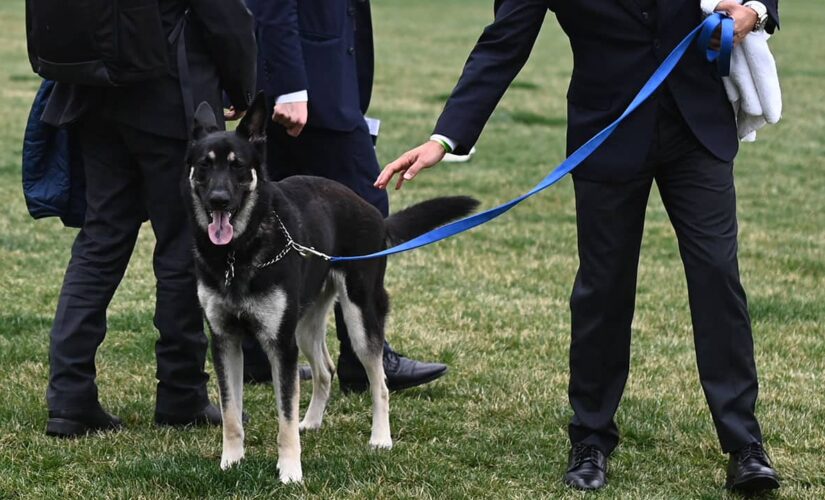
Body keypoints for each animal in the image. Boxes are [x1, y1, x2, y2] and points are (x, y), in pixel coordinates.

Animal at [180, 94, 476, 484]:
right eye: (205, 165)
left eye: (238, 166)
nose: (218, 200)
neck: (238, 252)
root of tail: (373, 214)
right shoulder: (225, 340)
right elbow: (232, 414)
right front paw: (231, 462)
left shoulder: (281, 346)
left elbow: (284, 416)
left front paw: (290, 471)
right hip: (305, 325)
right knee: (325, 370)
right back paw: (312, 422)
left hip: (359, 317)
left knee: (378, 381)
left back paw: (380, 439)